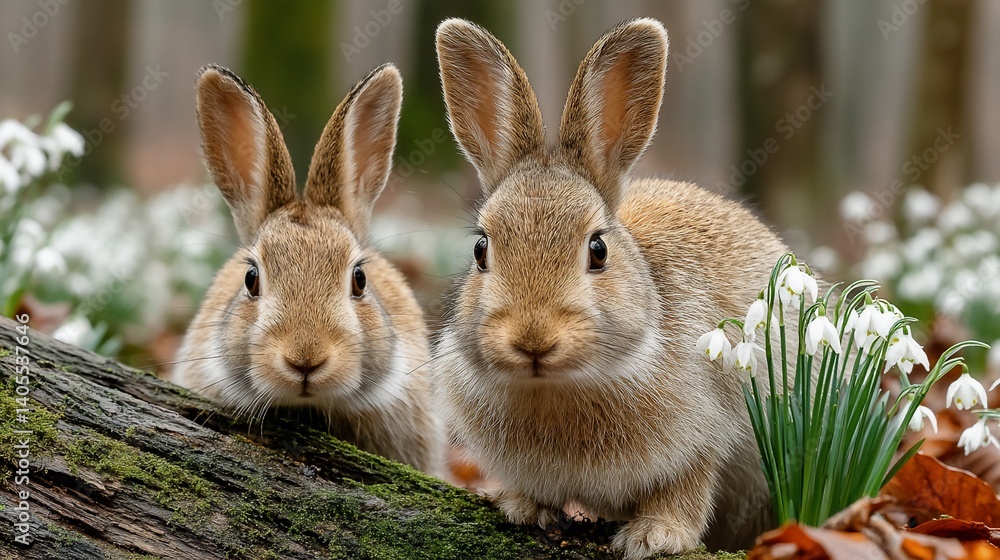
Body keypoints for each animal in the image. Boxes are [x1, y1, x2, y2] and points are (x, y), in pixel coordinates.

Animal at [433, 17, 788, 557]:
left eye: (598, 250)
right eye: (480, 249)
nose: (533, 340)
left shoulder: (704, 432)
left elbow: (688, 485)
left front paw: (657, 536)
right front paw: (522, 508)